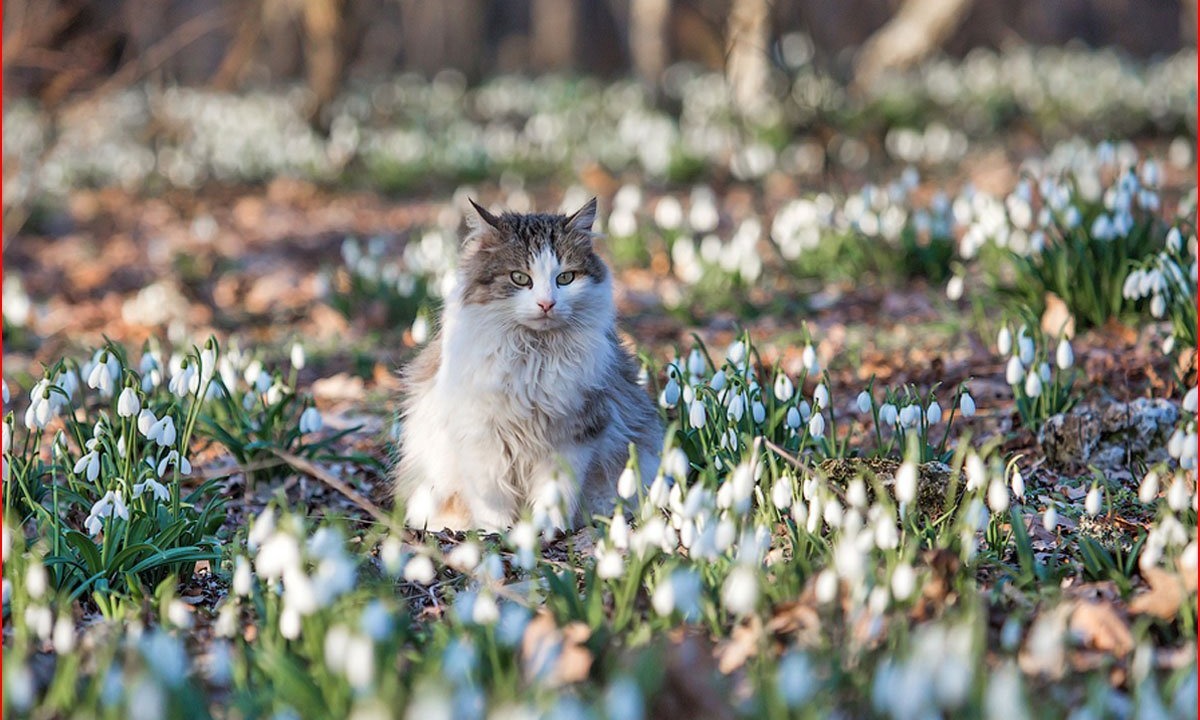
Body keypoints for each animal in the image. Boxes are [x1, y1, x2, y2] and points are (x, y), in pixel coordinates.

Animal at [393, 199, 662, 530]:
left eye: (565, 278)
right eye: (520, 278)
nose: (547, 304)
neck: (534, 356)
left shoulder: (572, 435)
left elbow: (555, 493)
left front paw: (546, 530)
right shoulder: (481, 435)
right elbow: (492, 499)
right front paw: (496, 532)